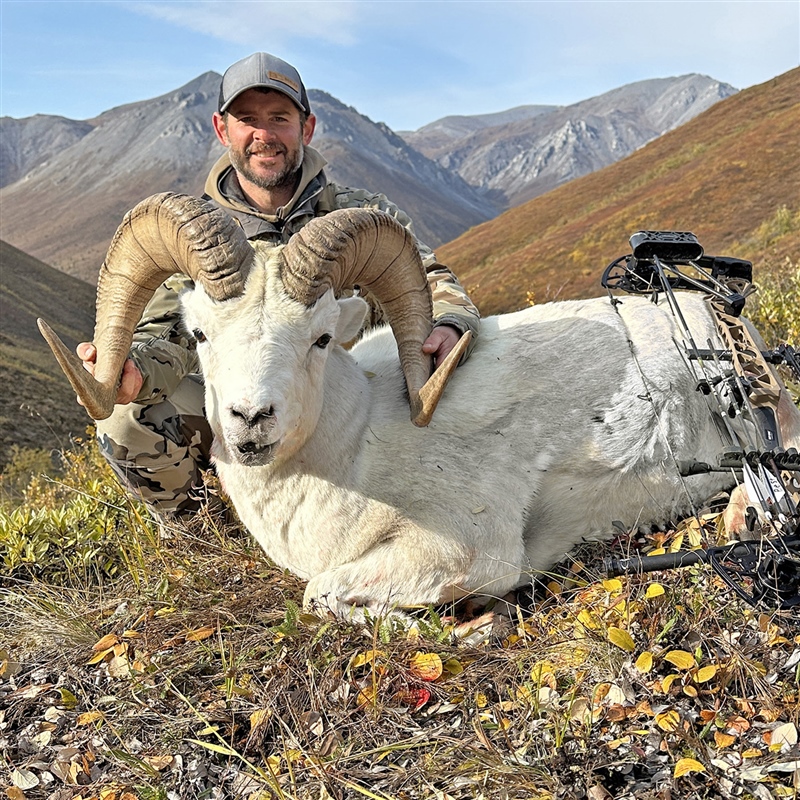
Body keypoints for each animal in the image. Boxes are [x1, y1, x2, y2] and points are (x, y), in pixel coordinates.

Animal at [39, 193, 800, 619]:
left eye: (320, 337)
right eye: (198, 334)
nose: (251, 421)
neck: (354, 457)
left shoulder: (459, 550)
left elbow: (321, 598)